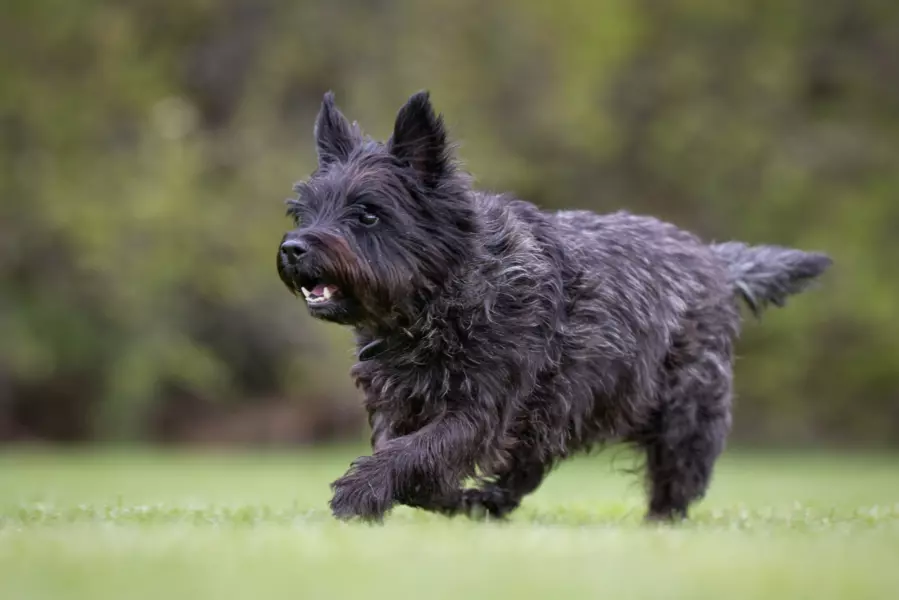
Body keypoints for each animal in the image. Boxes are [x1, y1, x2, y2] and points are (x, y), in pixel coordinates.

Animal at [278, 91, 832, 524]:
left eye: (367, 213)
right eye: (303, 212)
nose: (294, 248)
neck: (447, 295)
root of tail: (716, 260)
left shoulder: (482, 406)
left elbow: (417, 453)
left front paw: (360, 492)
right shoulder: (402, 403)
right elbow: (409, 454)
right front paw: (442, 498)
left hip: (683, 412)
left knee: (675, 481)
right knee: (528, 471)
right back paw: (488, 502)